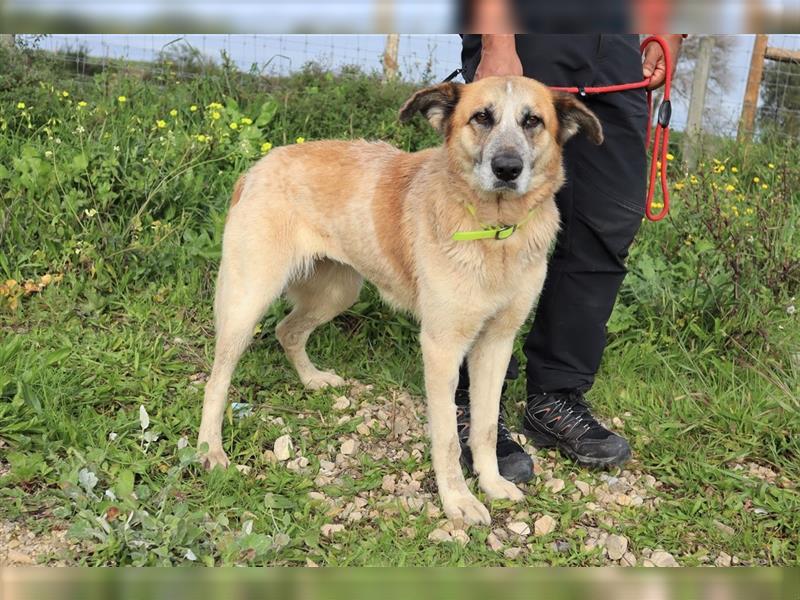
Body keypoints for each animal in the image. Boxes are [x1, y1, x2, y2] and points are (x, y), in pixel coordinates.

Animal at [197, 76, 604, 524]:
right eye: (482, 117)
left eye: (533, 121)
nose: (507, 169)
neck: (495, 232)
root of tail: (260, 165)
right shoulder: (442, 346)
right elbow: (447, 438)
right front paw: (457, 500)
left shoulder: (497, 342)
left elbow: (484, 428)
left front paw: (493, 482)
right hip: (248, 299)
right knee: (217, 379)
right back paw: (209, 450)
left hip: (338, 291)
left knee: (288, 330)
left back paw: (312, 379)